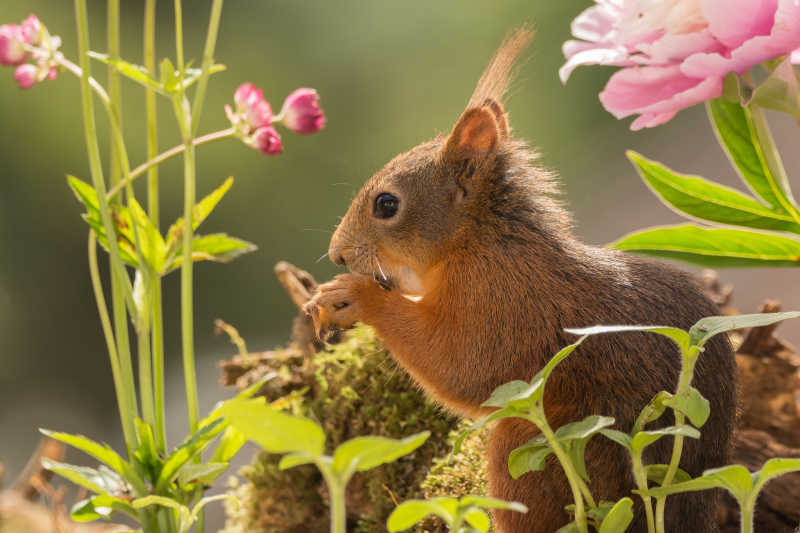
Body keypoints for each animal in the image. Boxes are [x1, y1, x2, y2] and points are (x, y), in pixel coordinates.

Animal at [304, 28, 736, 532]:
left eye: (387, 205)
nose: (338, 252)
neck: (480, 241)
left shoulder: (502, 301)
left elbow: (462, 368)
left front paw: (356, 295)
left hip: (530, 451)